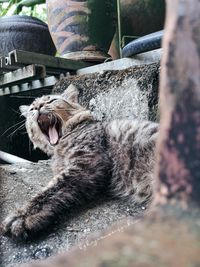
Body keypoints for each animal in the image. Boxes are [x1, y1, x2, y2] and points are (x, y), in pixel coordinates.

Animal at [1, 85, 158, 240]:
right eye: (32, 108)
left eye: (51, 100)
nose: (38, 107)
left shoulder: (87, 161)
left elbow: (50, 190)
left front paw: (22, 216)